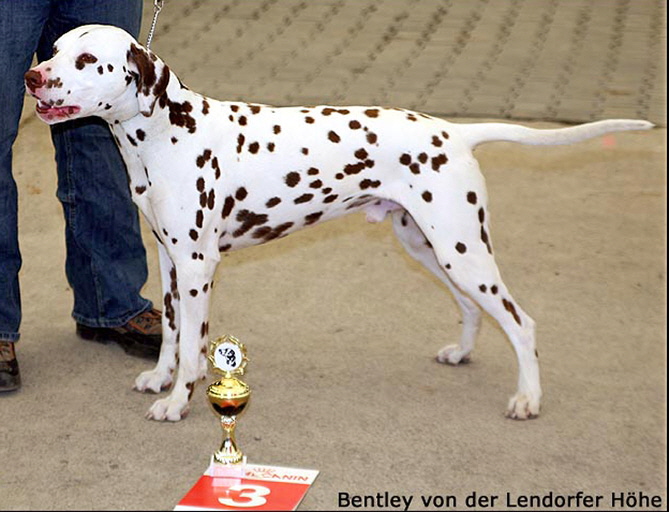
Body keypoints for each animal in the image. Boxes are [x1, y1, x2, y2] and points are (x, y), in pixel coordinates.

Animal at [26, 24, 653, 421]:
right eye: (52, 48)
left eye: (87, 60)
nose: (33, 77)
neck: (165, 132)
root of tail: (456, 130)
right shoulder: (170, 261)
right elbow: (175, 335)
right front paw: (162, 380)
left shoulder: (198, 265)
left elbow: (192, 348)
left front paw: (178, 401)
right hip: (431, 248)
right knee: (473, 308)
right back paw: (461, 352)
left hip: (462, 249)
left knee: (521, 323)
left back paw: (527, 400)